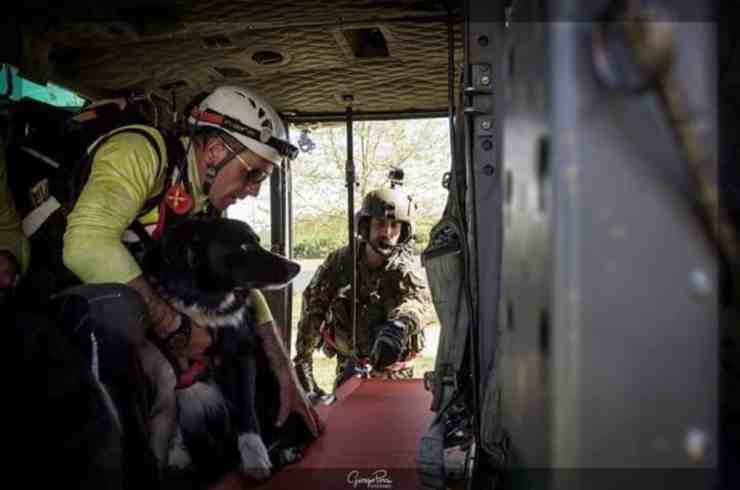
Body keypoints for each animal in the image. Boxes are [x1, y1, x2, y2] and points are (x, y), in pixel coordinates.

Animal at [142, 217, 306, 482]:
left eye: (257, 241)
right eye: (244, 247)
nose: (296, 267)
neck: (205, 298)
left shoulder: (241, 353)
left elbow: (246, 409)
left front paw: (255, 457)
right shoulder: (168, 368)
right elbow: (175, 419)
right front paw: (178, 454)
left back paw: (285, 450)